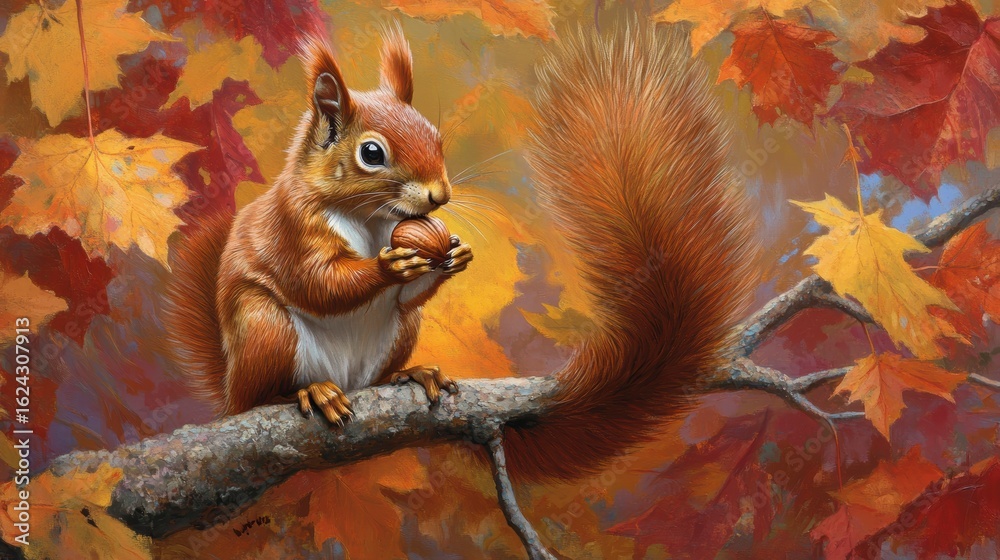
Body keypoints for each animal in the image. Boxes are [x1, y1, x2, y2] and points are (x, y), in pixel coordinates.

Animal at [163, 19, 758, 482]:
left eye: (436, 136)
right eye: (371, 153)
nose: (440, 196)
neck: (372, 219)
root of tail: (229, 384)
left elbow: (410, 288)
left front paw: (454, 255)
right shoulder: (293, 228)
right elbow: (319, 282)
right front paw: (389, 265)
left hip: (399, 335)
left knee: (377, 368)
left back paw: (408, 376)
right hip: (263, 330)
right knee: (262, 395)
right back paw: (309, 395)